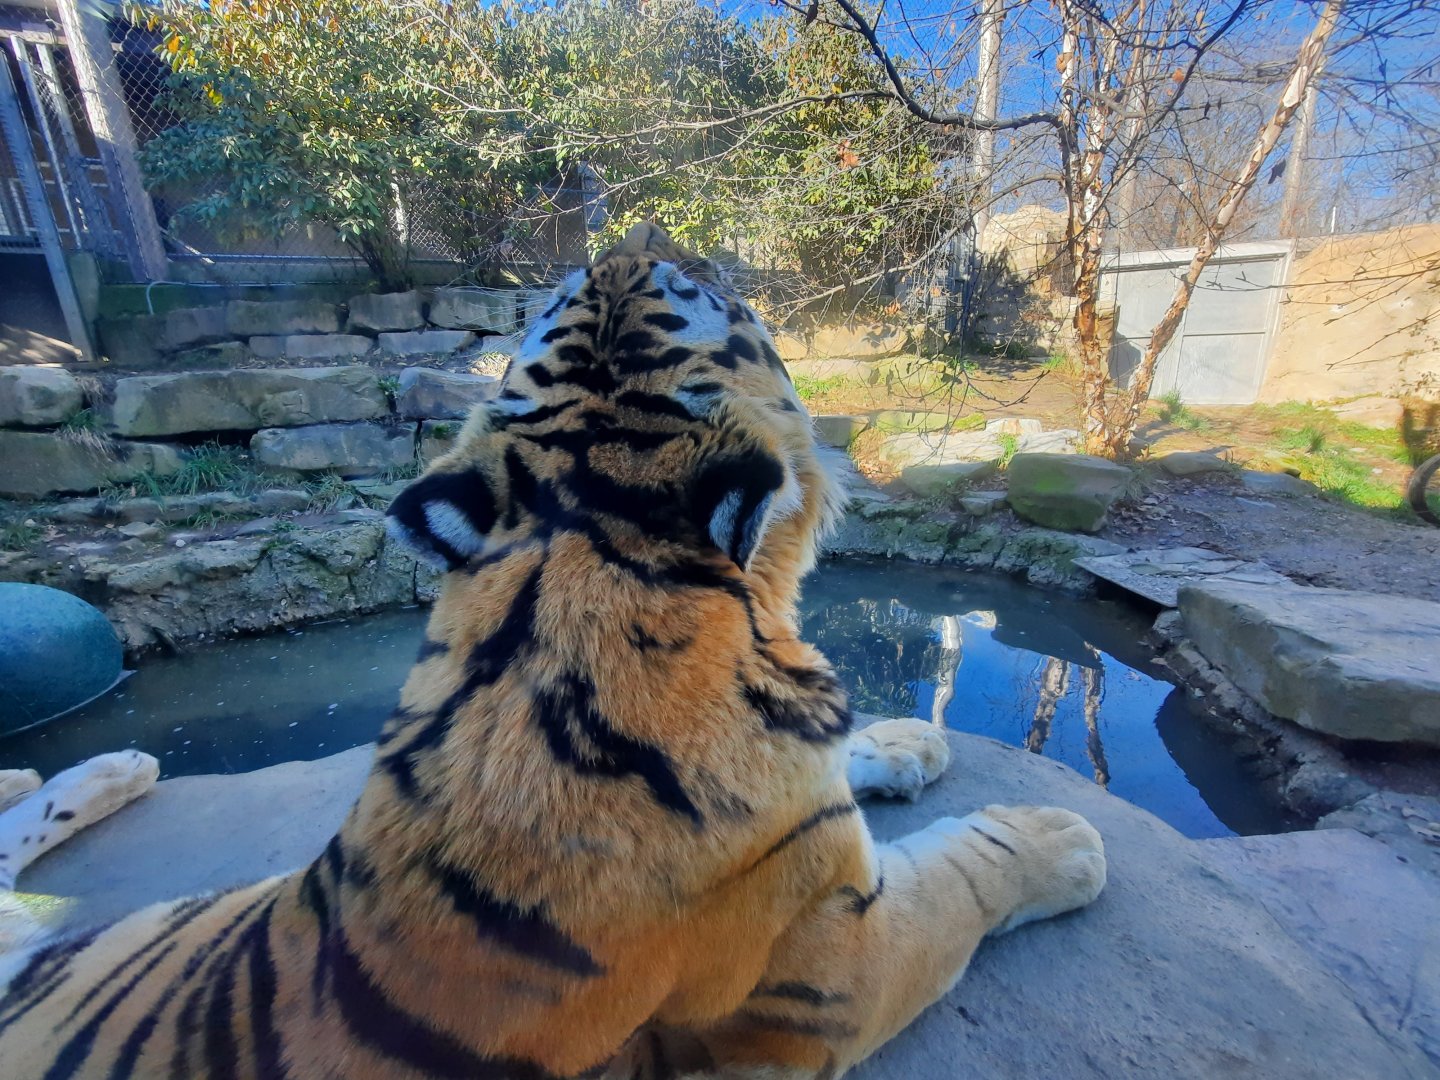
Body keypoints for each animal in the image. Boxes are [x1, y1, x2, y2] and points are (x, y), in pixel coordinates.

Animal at [0, 222, 1106, 1079]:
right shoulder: (836, 965)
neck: (577, 577)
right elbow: (965, 870)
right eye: (703, 290)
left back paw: (112, 763)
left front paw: (905, 742)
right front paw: (1061, 838)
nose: (631, 236)